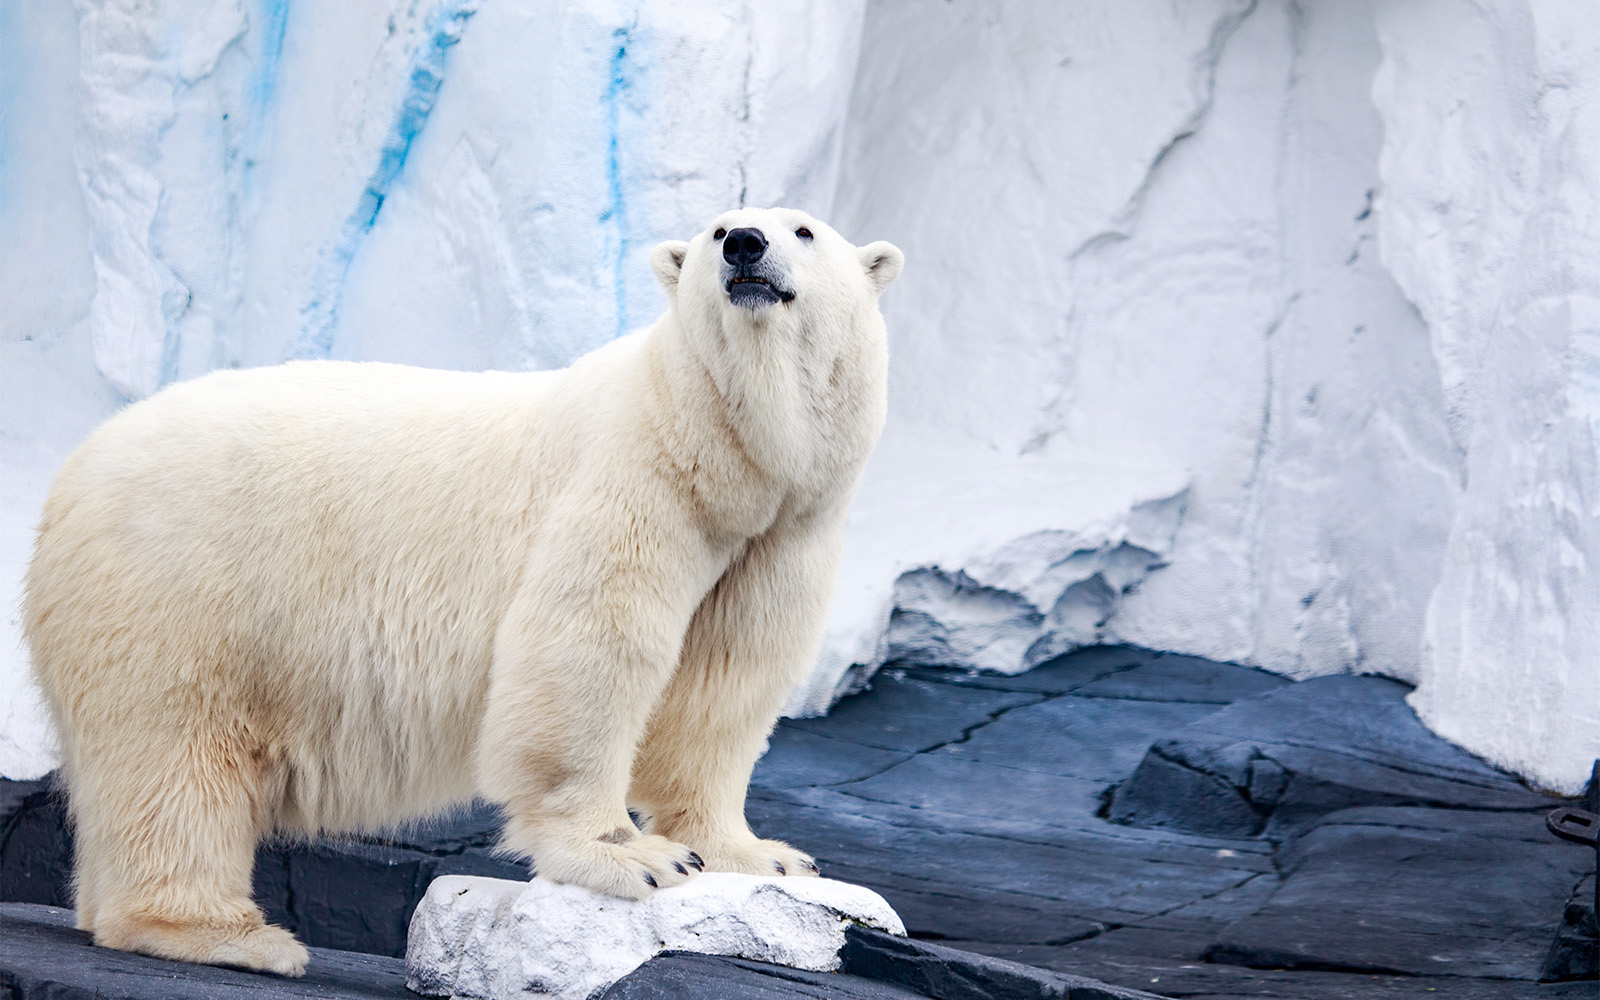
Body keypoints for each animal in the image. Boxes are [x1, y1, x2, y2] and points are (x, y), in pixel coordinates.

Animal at [22, 207, 903, 976]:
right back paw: (232, 936)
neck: (713, 445)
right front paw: (630, 856)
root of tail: (69, 479)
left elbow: (725, 678)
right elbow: (588, 651)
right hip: (178, 588)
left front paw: (760, 855)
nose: (747, 244)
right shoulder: (633, 480)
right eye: (718, 228)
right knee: (174, 757)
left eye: (803, 230)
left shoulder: (775, 535)